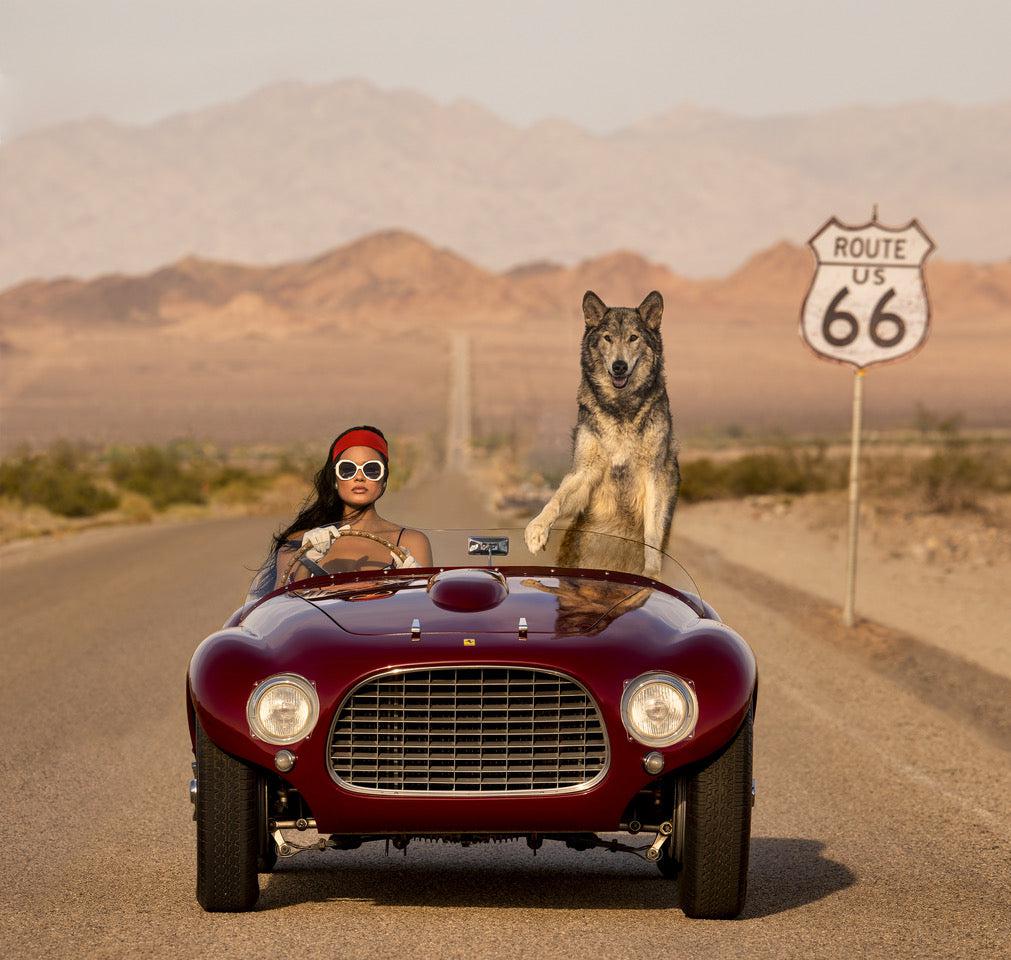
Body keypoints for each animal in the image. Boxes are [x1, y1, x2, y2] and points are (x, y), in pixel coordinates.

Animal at [529, 291, 679, 578]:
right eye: (608, 338)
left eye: (633, 337)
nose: (619, 366)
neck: (620, 410)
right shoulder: (585, 472)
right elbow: (555, 499)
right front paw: (537, 530)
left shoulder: (655, 475)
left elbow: (653, 533)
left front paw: (651, 573)